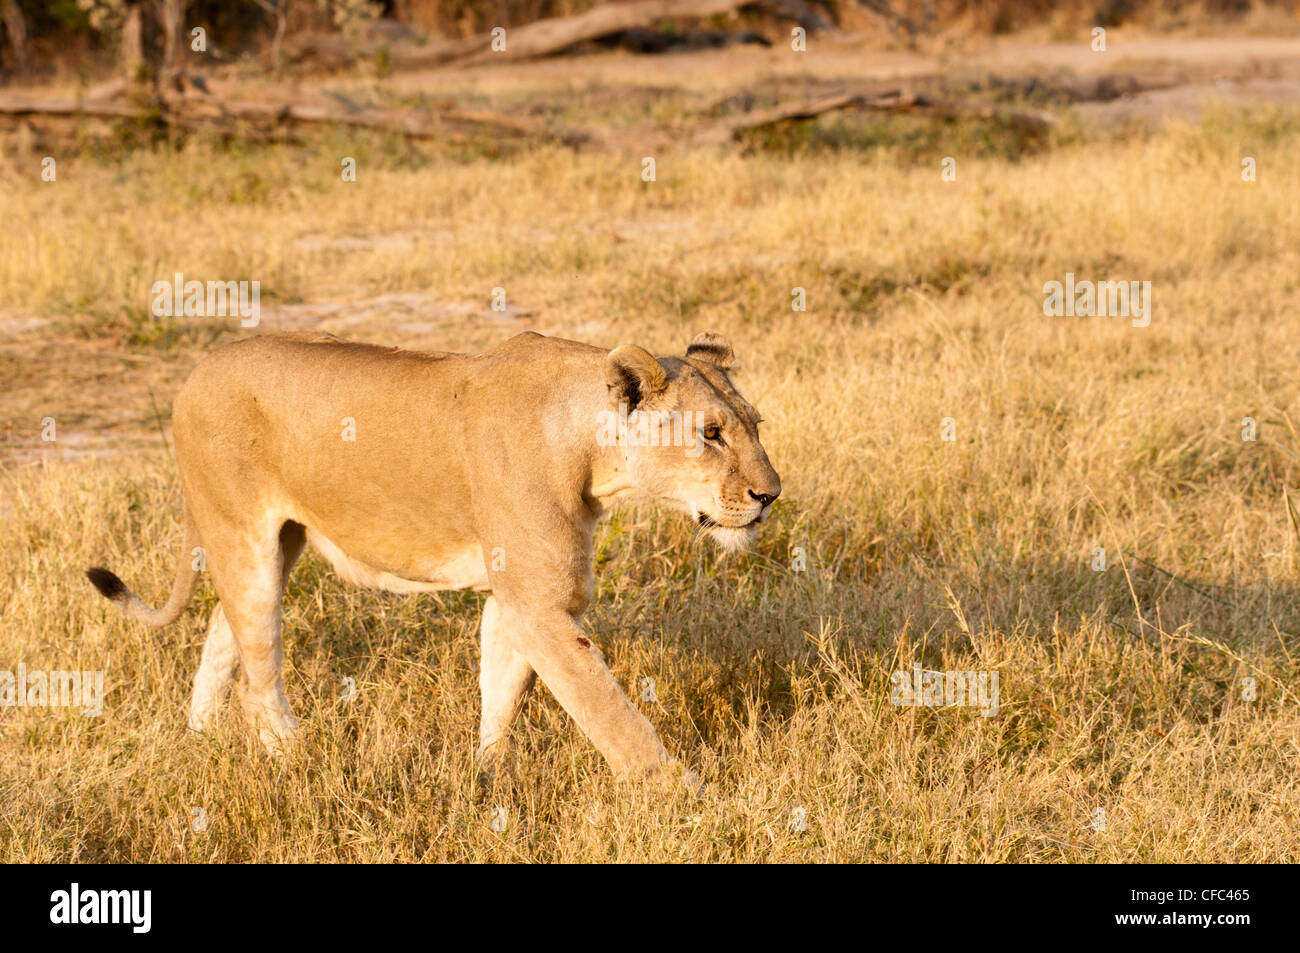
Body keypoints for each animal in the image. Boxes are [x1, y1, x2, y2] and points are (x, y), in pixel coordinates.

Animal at [85, 330, 781, 789]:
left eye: (755, 422)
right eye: (711, 434)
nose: (770, 494)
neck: (592, 451)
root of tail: (196, 371)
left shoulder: (516, 599)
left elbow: (502, 691)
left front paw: (487, 780)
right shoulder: (542, 605)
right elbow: (611, 713)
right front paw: (685, 797)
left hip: (278, 543)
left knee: (219, 631)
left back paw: (200, 740)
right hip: (244, 538)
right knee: (259, 678)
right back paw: (300, 762)